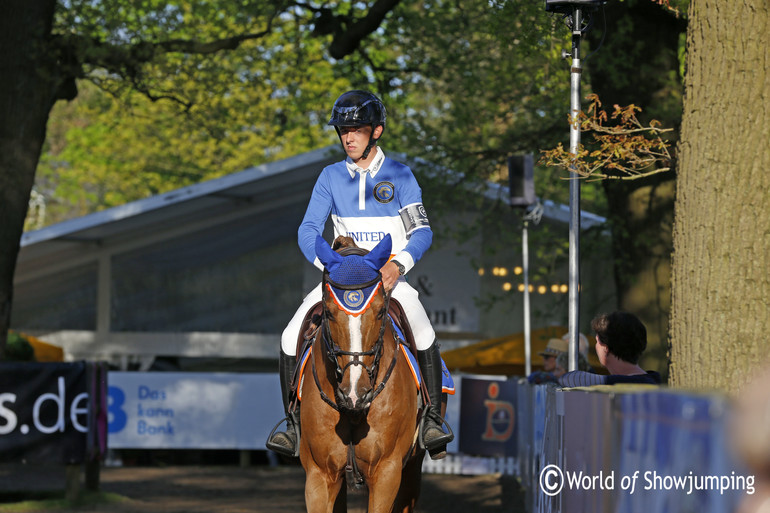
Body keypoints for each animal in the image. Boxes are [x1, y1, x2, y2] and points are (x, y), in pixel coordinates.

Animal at [298, 234, 420, 510]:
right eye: (329, 312)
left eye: (381, 311)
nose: (355, 394)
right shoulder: (319, 475)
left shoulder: (387, 472)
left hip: (412, 469)